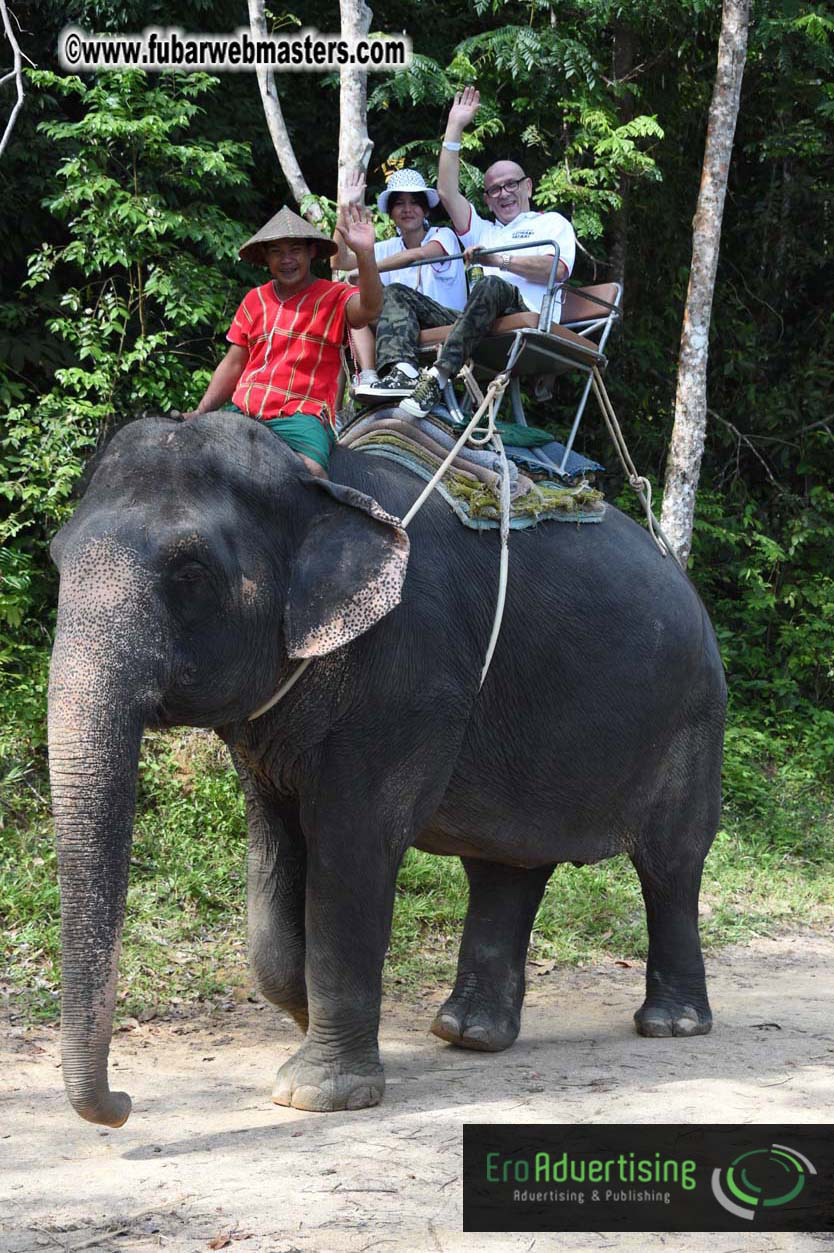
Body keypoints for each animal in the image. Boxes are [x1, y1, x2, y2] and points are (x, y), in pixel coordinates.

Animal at [48, 411, 726, 1128]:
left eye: (189, 571)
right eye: (56, 557)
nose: (123, 1105)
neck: (316, 481)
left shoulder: (408, 677)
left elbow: (353, 848)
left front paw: (316, 1093)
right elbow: (275, 854)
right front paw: (305, 1020)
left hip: (692, 718)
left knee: (670, 863)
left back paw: (672, 1024)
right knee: (506, 865)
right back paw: (467, 1033)